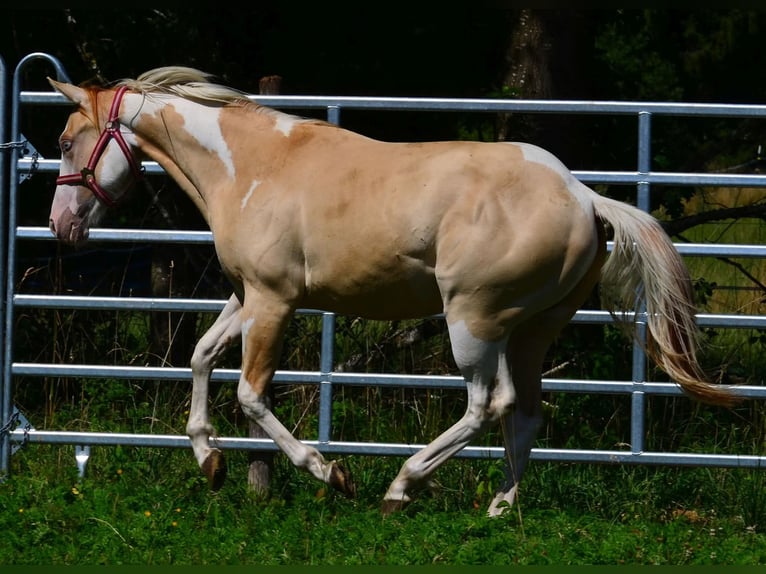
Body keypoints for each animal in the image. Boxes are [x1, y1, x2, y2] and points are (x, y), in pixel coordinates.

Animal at [47, 67, 737, 516]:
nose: (61, 226)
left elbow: (249, 394)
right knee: (525, 413)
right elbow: (199, 357)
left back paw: (401, 488)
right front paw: (209, 461)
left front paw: (331, 472)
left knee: (488, 404)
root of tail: (584, 197)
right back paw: (499, 510)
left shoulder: (274, 300)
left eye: (64, 141)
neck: (251, 167)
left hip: (473, 319)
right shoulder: (247, 296)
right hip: (534, 328)